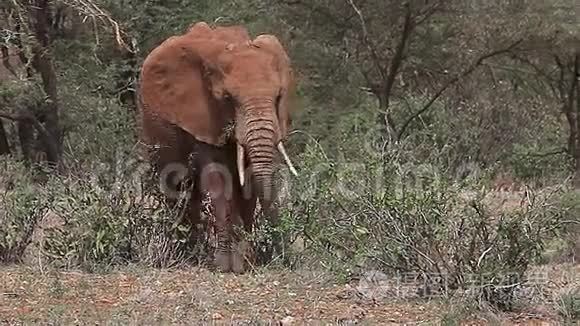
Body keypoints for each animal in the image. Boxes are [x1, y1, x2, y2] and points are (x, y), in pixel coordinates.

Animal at [137, 21, 300, 274]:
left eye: (278, 97)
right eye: (228, 99)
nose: (285, 259)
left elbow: (248, 182)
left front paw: (244, 263)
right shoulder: (203, 116)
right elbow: (218, 179)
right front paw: (224, 266)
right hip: (153, 126)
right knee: (176, 184)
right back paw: (185, 254)